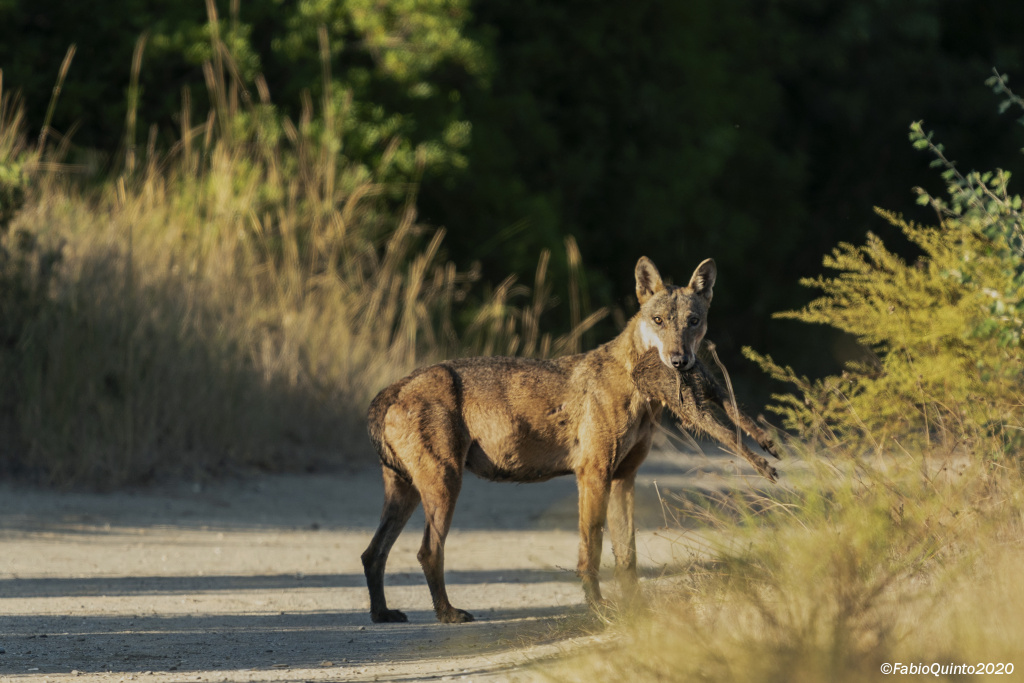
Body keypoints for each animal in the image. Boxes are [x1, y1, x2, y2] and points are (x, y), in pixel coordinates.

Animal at [360, 255, 774, 626]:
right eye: (658, 321)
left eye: (693, 322)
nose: (679, 362)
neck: (637, 385)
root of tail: (392, 389)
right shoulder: (593, 475)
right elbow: (591, 550)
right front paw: (599, 608)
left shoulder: (624, 479)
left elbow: (627, 556)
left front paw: (637, 608)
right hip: (444, 487)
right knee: (427, 551)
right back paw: (447, 614)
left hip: (408, 492)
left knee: (372, 553)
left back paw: (382, 614)